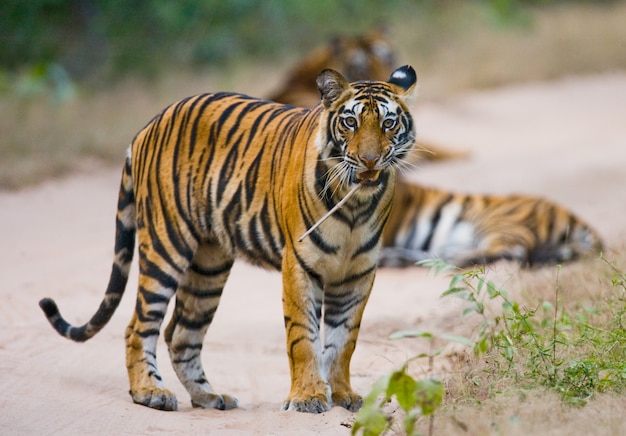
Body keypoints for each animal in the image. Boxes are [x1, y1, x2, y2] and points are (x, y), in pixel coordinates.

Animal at [40, 64, 420, 412]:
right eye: (350, 122)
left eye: (388, 123)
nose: (369, 161)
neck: (355, 204)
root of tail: (149, 125)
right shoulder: (300, 264)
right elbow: (303, 336)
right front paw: (308, 396)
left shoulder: (357, 273)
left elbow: (343, 340)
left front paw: (341, 394)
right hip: (166, 246)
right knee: (139, 326)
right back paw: (150, 392)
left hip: (208, 266)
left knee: (181, 333)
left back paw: (209, 397)